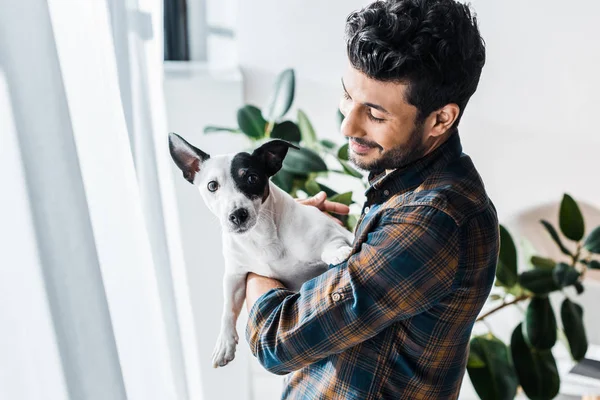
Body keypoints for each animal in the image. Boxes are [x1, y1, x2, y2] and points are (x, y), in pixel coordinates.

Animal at [168, 133, 356, 368]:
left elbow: (333, 244)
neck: (260, 236)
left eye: (252, 178)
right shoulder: (235, 275)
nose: (238, 215)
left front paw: (337, 253)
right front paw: (224, 343)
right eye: (212, 186)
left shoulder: (333, 233)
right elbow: (228, 308)